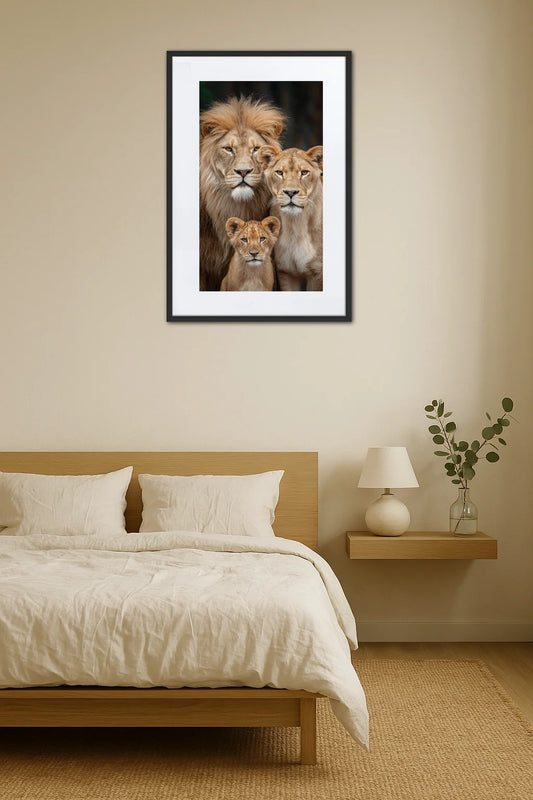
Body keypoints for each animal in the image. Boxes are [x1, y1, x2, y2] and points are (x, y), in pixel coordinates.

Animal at [257, 145, 323, 291]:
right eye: (279, 172)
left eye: (304, 172)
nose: (291, 192)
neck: (295, 225)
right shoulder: (286, 272)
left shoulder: (316, 273)